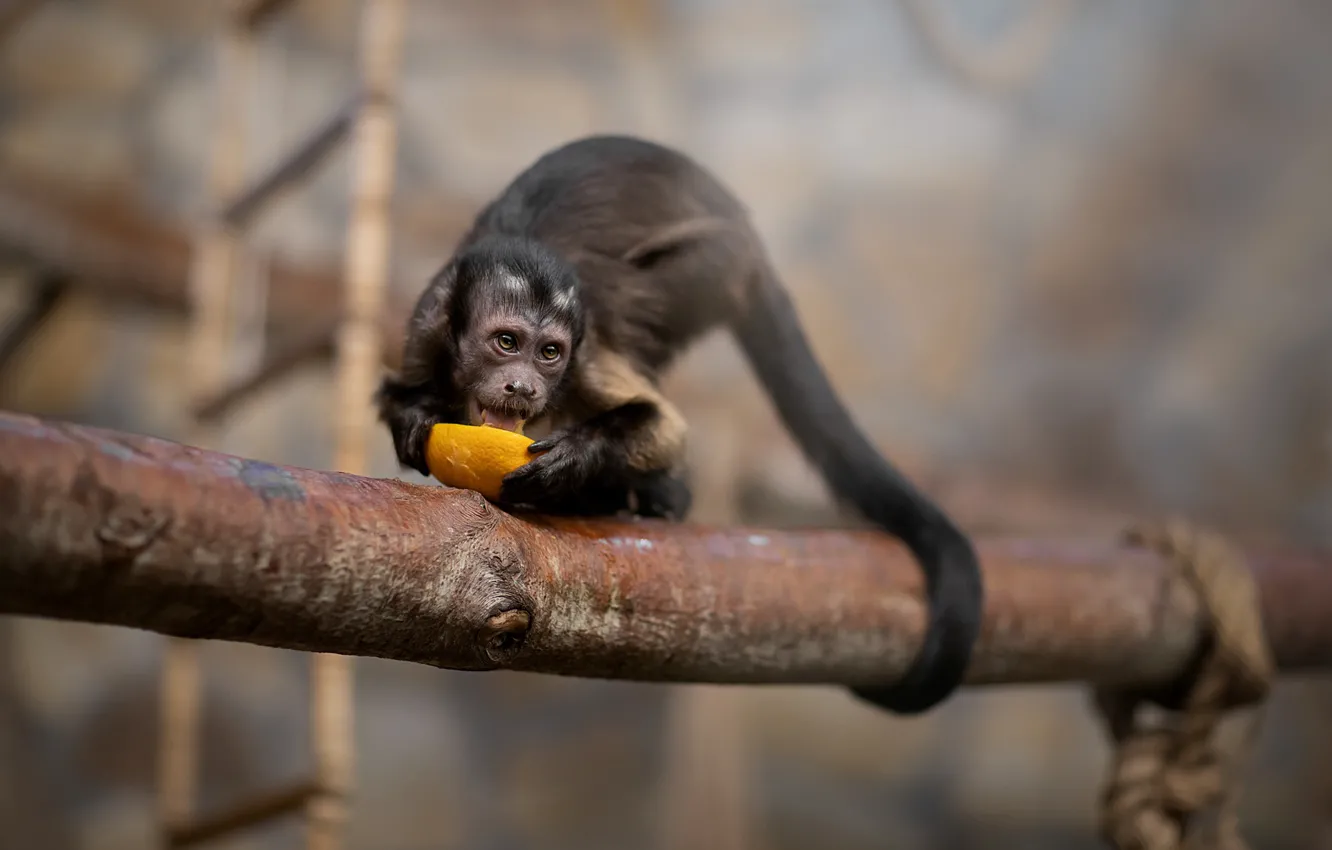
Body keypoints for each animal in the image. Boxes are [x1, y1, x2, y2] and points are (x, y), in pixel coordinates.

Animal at [376, 135, 983, 716]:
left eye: (549, 352)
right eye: (506, 342)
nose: (524, 386)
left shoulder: (586, 353)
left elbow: (665, 428)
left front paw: (574, 460)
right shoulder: (426, 325)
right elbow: (402, 394)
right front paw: (417, 416)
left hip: (715, 267)